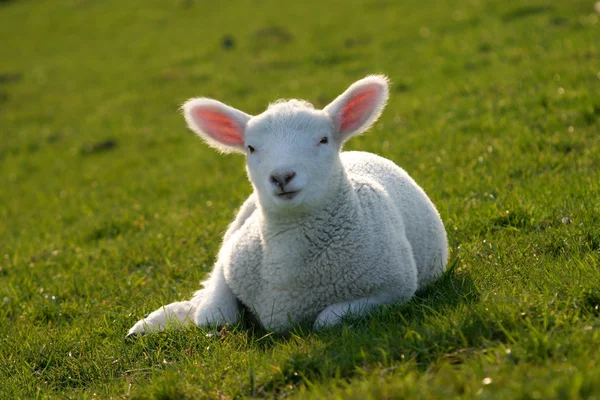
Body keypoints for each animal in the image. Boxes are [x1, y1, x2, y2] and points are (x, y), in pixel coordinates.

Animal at [126, 74, 448, 334]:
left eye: (323, 139)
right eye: (251, 148)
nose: (281, 176)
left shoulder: (394, 290)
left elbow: (325, 320)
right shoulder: (231, 261)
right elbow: (215, 316)